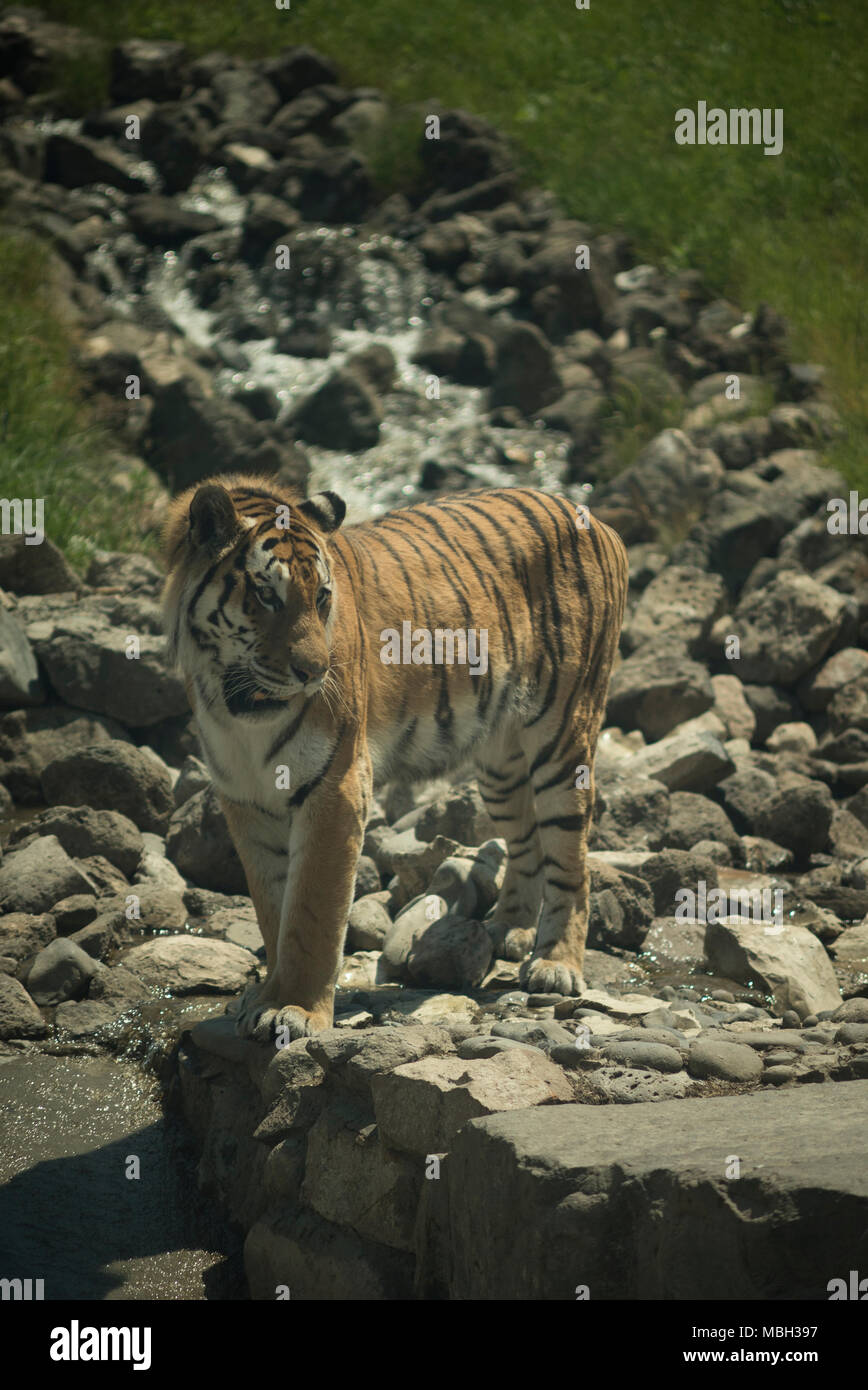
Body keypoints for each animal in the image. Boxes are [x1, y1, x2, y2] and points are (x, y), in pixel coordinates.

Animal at [161, 478, 623, 1045]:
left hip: (562, 732)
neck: (238, 707)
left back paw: (557, 965)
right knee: (528, 843)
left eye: (322, 596)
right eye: (266, 594)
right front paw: (265, 994)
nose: (315, 672)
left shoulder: (336, 787)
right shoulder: (246, 798)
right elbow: (273, 907)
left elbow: (311, 912)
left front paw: (293, 1009)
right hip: (501, 765)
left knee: (572, 858)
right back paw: (507, 929)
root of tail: (590, 515)